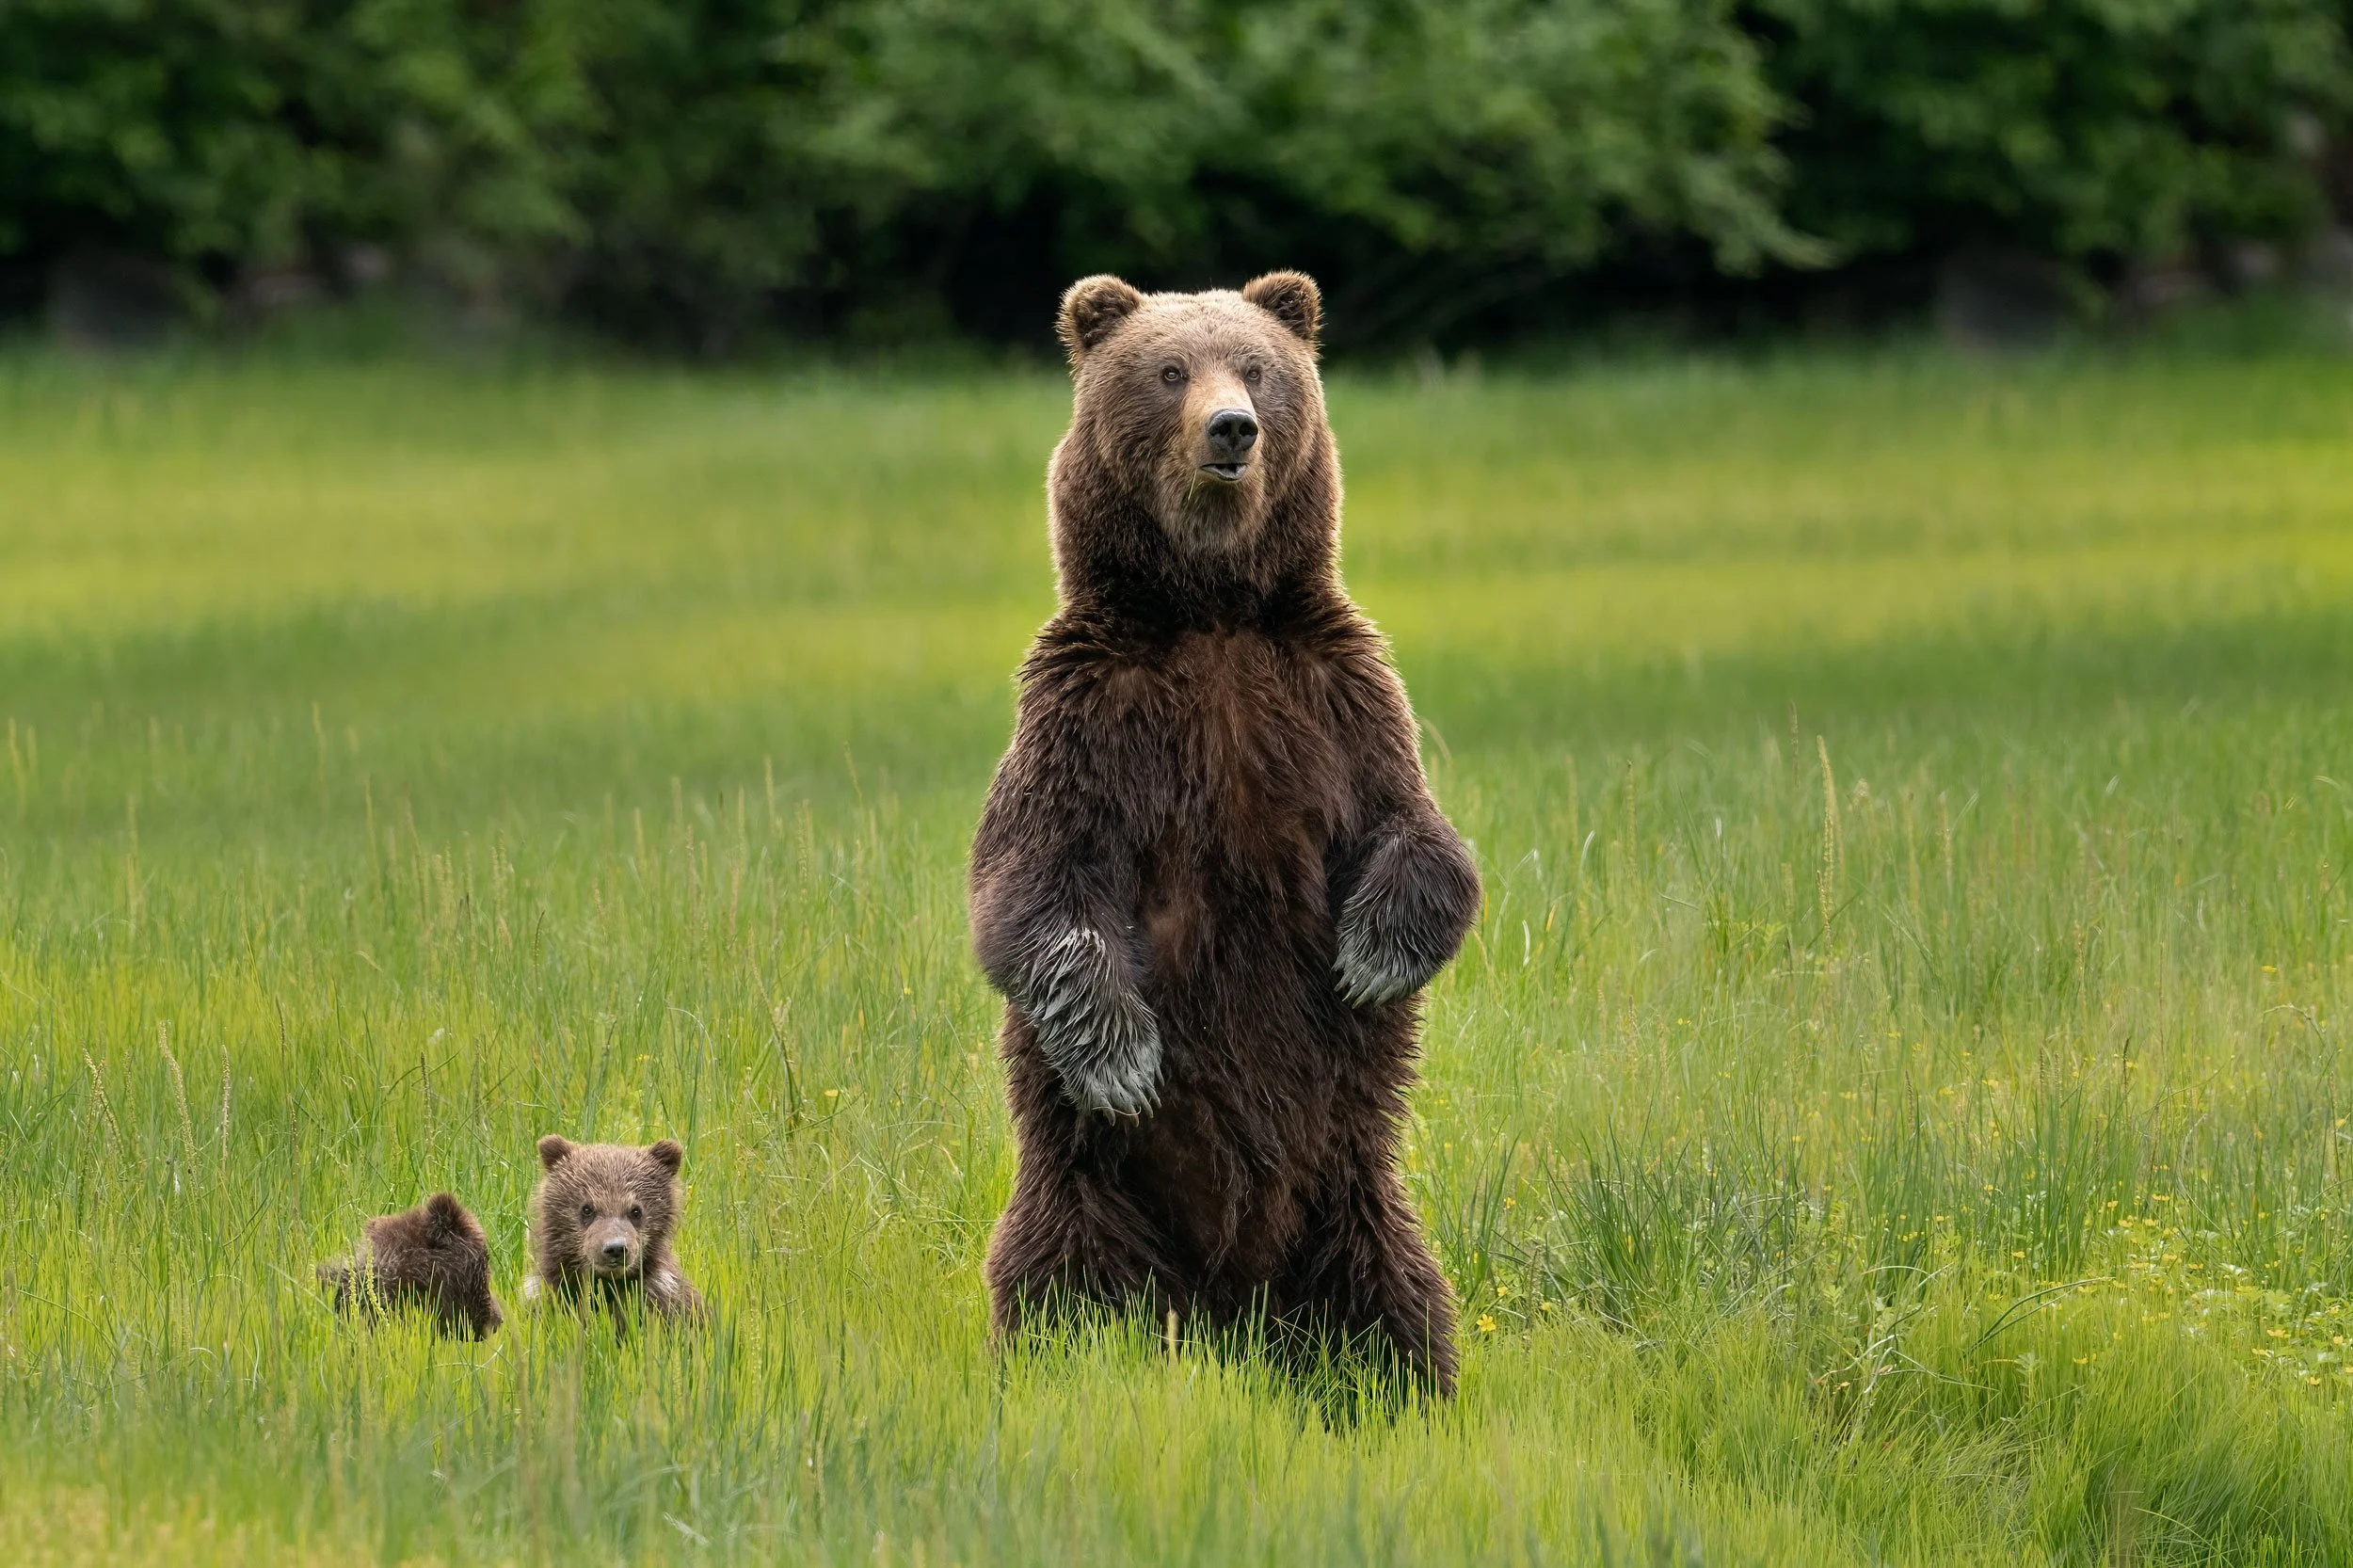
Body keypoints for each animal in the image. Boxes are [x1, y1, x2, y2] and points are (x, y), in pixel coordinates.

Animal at [969, 270, 1482, 1394]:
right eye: (1168, 371)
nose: (1231, 428)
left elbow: (1420, 837)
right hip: (1088, 1195)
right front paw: (1124, 1058)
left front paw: (1370, 957)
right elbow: (1033, 891)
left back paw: (1405, 1389)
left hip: (1349, 1195)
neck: (1208, 612)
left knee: (1393, 1301)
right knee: (1061, 1290)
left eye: (1255, 366)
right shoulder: (1087, 715)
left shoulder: (1334, 696)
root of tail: (1227, 1310)